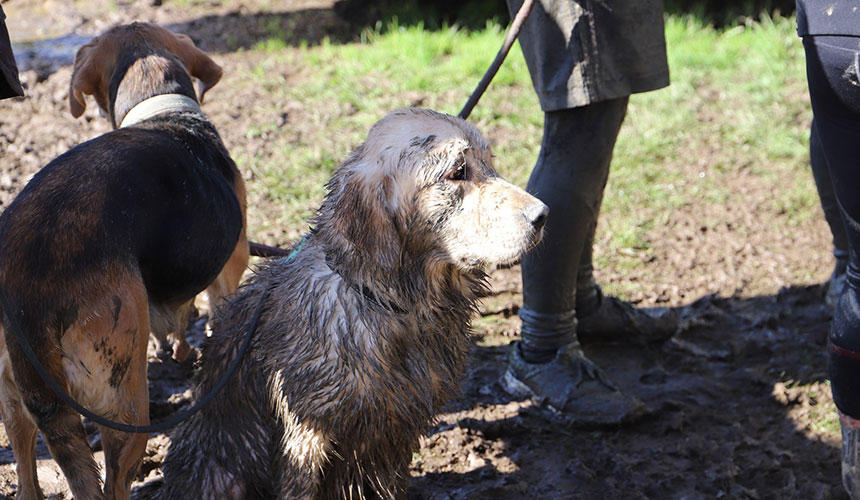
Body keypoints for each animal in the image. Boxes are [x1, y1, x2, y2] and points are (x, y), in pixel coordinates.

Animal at [0, 23, 249, 500]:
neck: (161, 106)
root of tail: (23, 285)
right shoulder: (231, 272)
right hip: (124, 400)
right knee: (113, 480)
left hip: (14, 395)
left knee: (25, 468)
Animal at [160, 107, 552, 498]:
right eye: (458, 172)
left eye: (490, 162)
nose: (542, 214)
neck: (391, 305)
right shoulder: (307, 435)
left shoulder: (397, 432)